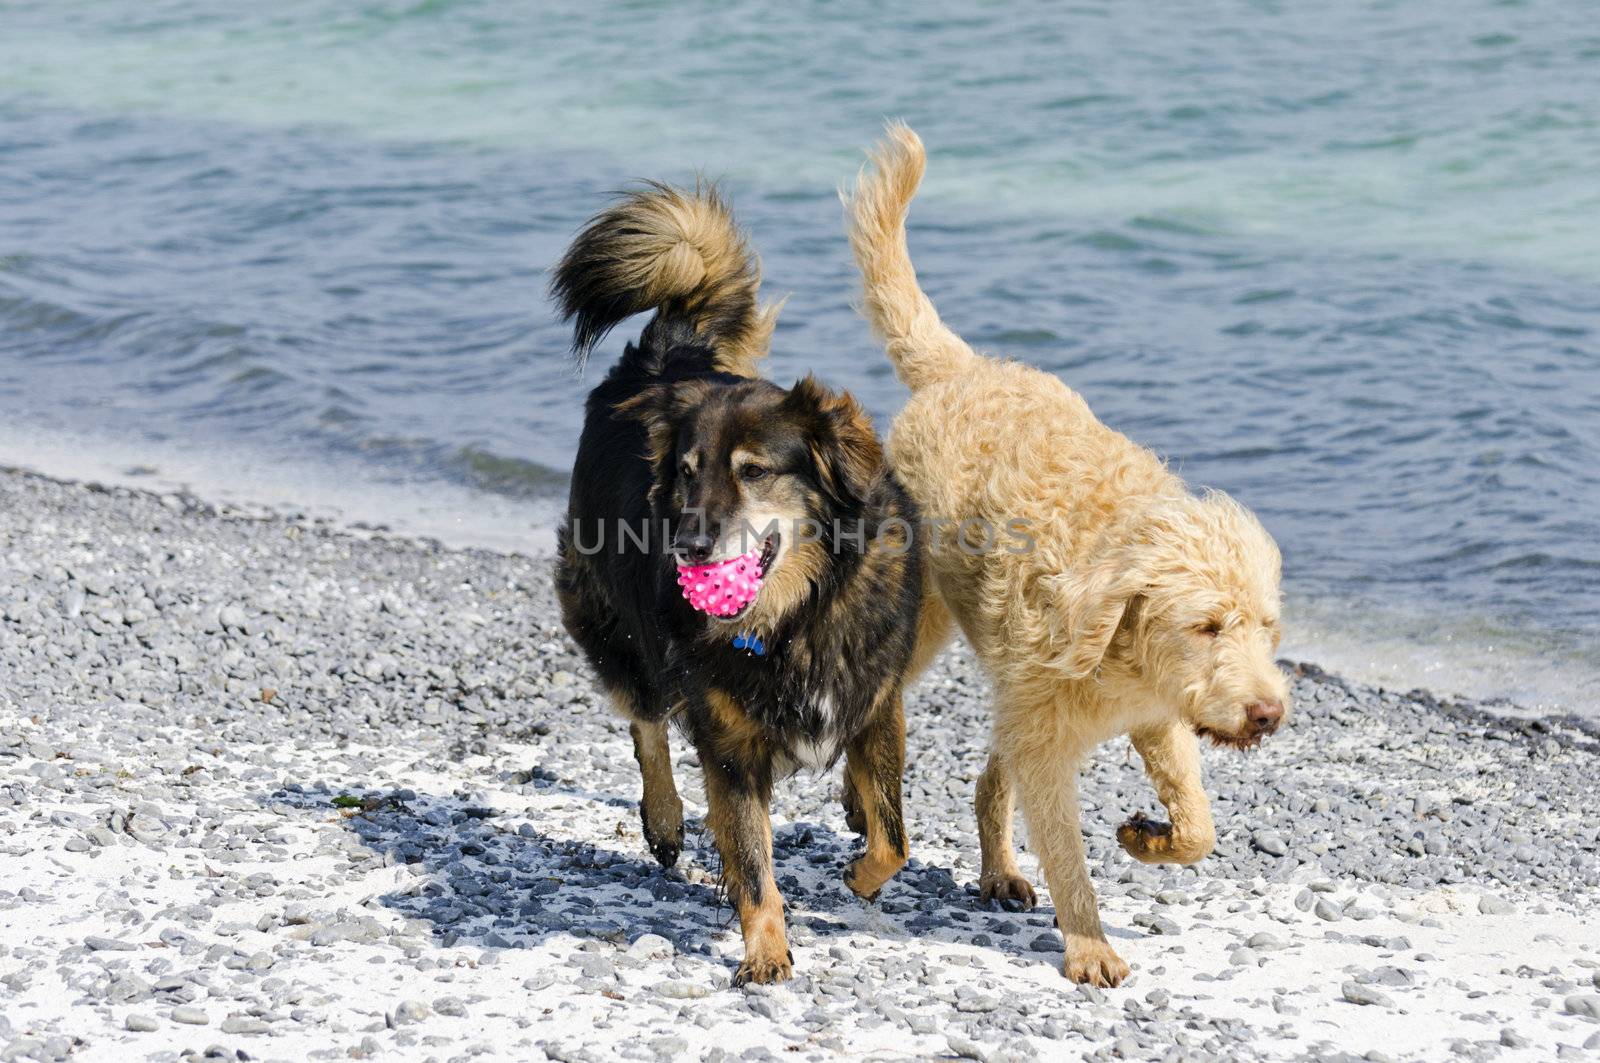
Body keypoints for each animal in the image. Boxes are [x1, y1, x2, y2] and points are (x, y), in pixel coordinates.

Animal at [553, 180, 921, 979]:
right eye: (687, 473)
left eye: (753, 471)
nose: (689, 547)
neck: (796, 617)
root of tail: (663, 355)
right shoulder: (728, 742)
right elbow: (752, 860)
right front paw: (766, 951)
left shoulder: (875, 699)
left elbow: (893, 838)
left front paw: (858, 874)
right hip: (614, 621)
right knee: (645, 713)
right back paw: (663, 820)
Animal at [851, 124, 1286, 986]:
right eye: (1208, 625)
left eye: (1266, 626)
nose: (1267, 712)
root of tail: (964, 368)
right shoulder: (1050, 742)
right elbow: (1066, 853)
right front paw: (1089, 943)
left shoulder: (1157, 717)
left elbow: (1198, 825)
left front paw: (1151, 836)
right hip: (922, 625)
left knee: (990, 778)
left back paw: (996, 866)